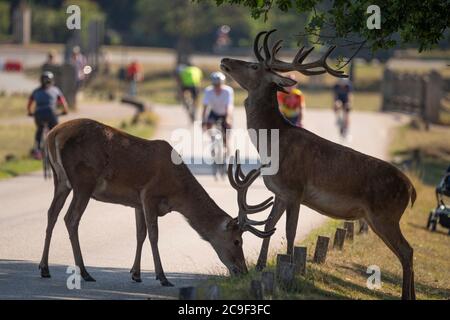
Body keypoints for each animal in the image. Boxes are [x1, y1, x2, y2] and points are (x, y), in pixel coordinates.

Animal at [38, 119, 272, 286]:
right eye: (237, 241)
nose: (243, 271)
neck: (178, 193)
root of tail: (53, 135)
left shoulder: (137, 202)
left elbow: (140, 234)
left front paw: (136, 274)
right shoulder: (149, 195)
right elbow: (153, 235)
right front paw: (162, 277)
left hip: (61, 181)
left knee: (51, 213)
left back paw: (44, 268)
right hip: (83, 182)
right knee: (71, 218)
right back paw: (85, 272)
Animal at [221, 30, 418, 300]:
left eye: (253, 66)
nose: (225, 60)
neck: (273, 145)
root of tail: (410, 189)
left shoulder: (295, 189)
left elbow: (289, 231)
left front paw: (289, 273)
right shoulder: (280, 192)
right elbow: (270, 226)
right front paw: (260, 268)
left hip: (385, 214)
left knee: (407, 250)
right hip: (381, 217)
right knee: (406, 251)